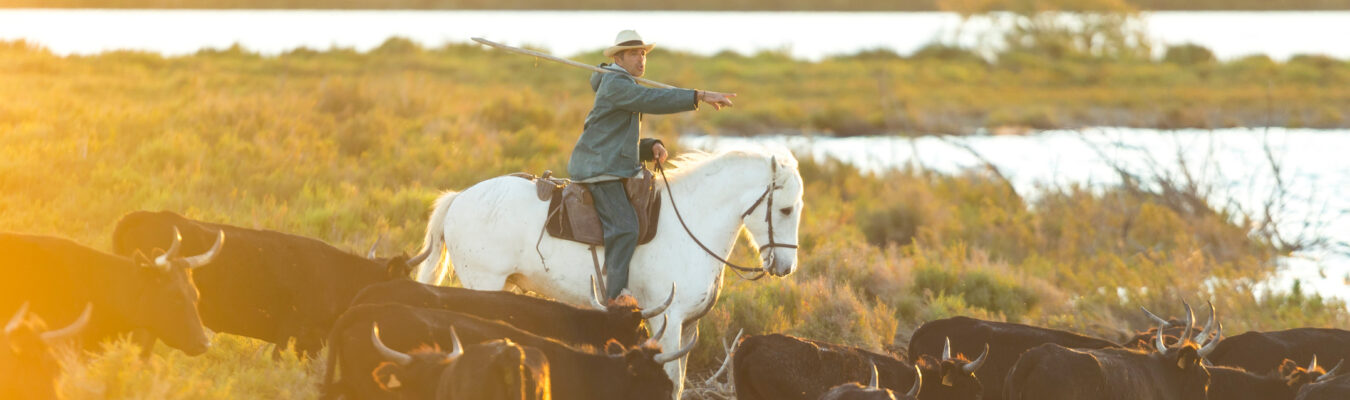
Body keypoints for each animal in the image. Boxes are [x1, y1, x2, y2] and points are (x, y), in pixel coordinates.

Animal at [410, 147, 799, 400]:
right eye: (785, 209)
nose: (785, 267)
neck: (690, 222)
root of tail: (459, 198)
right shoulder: (668, 321)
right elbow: (671, 380)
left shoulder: (689, 326)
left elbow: (679, 381)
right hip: (483, 284)